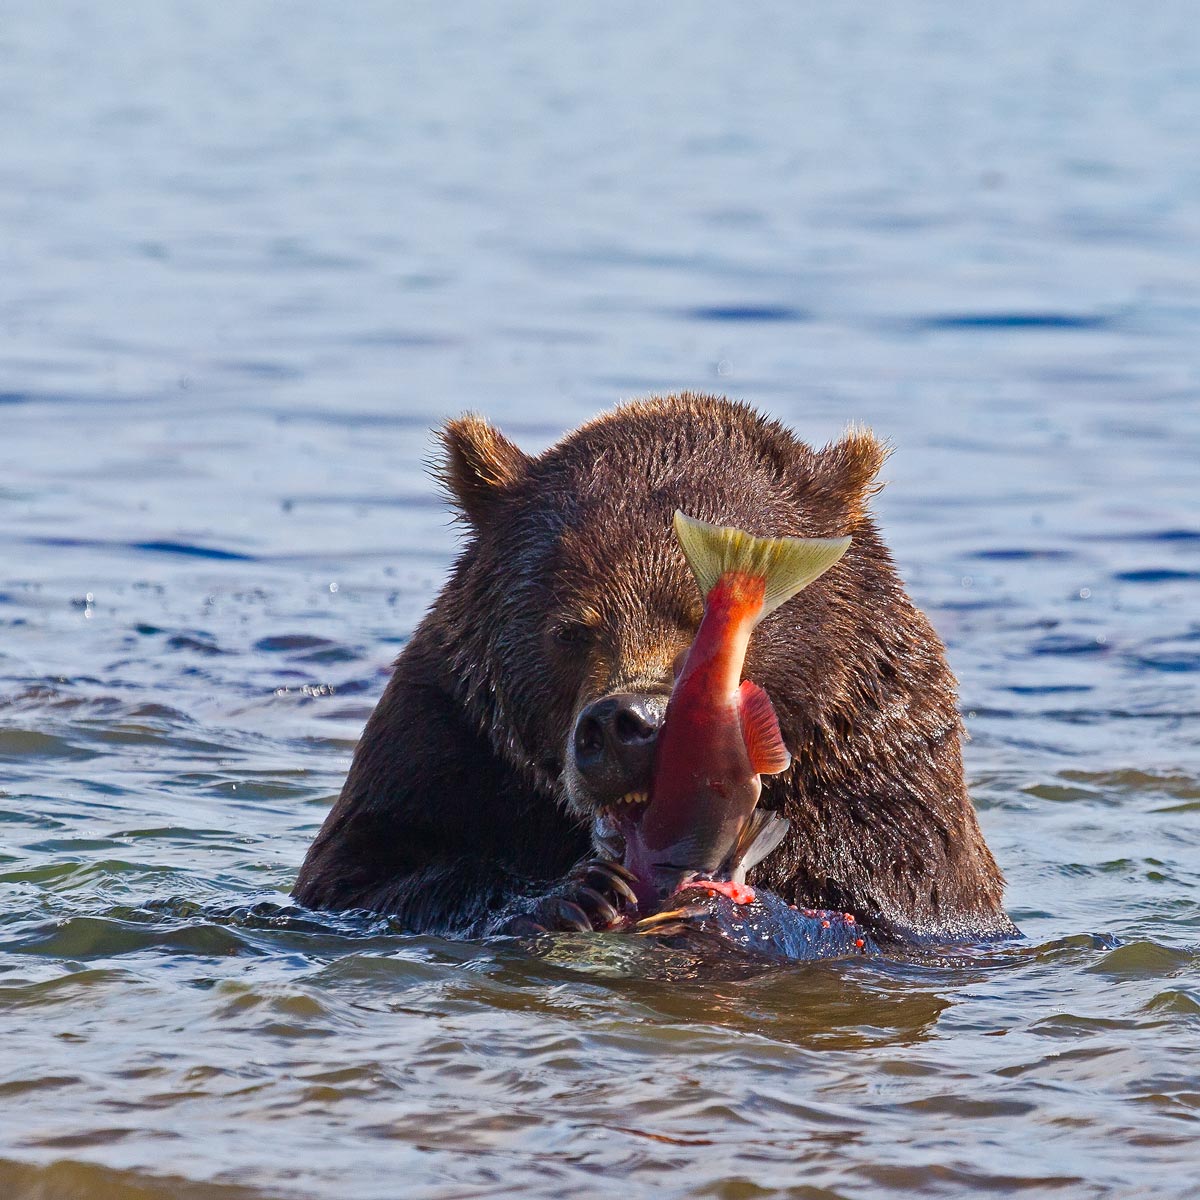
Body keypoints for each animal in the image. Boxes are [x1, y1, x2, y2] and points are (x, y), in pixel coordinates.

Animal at [295, 396, 1017, 945]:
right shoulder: (446, 737)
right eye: (570, 630)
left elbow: (902, 901)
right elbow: (365, 873)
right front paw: (578, 894)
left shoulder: (882, 764)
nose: (625, 722)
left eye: (700, 619)